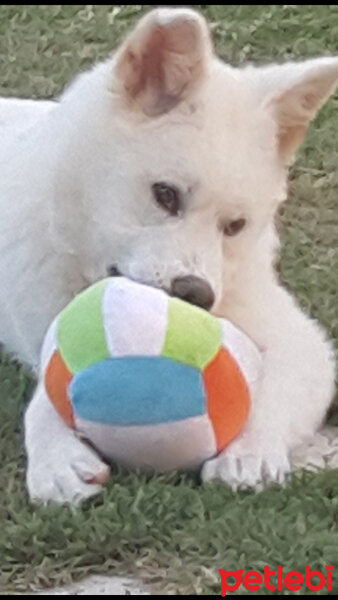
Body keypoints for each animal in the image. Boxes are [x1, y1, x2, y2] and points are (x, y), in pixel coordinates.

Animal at [0, 9, 338, 502]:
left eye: (235, 226)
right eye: (165, 195)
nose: (195, 295)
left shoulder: (298, 338)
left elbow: (276, 387)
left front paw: (251, 450)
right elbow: (50, 389)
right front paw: (56, 457)